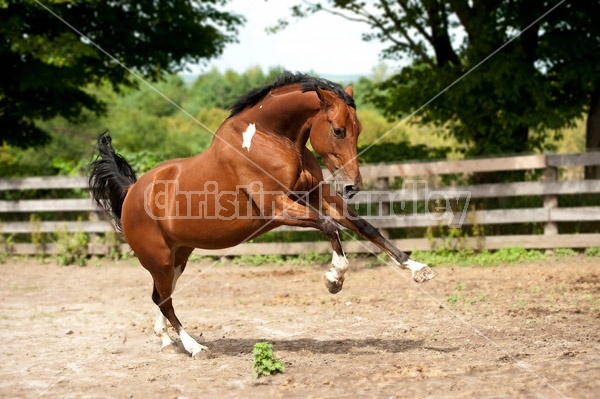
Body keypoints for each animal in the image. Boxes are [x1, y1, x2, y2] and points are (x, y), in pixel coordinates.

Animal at [89, 72, 436, 360]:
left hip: (179, 256)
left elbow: (365, 227)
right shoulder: (277, 208)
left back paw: (165, 340)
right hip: (159, 258)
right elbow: (329, 227)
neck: (272, 138)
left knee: (159, 295)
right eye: (338, 130)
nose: (353, 186)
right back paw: (194, 347)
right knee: (164, 300)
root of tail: (132, 192)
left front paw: (419, 269)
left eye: (358, 130)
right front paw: (334, 279)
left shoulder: (318, 195)